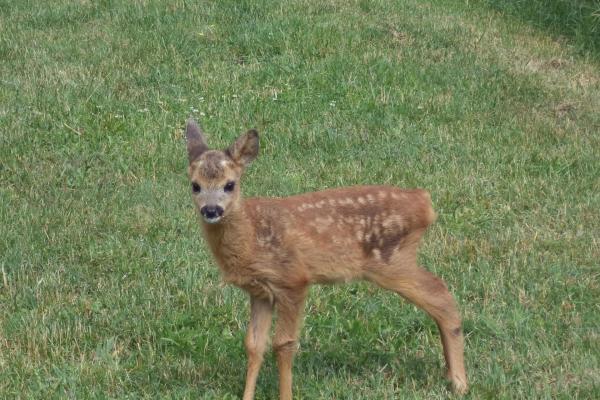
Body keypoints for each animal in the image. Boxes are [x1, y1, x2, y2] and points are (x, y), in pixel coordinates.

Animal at [185, 119, 466, 400]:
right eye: (195, 185)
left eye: (230, 184)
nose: (211, 210)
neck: (252, 234)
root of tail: (425, 203)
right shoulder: (260, 291)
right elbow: (254, 345)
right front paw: (247, 396)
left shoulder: (293, 279)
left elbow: (283, 344)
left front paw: (285, 395)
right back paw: (450, 375)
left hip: (392, 260)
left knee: (442, 295)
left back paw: (460, 383)